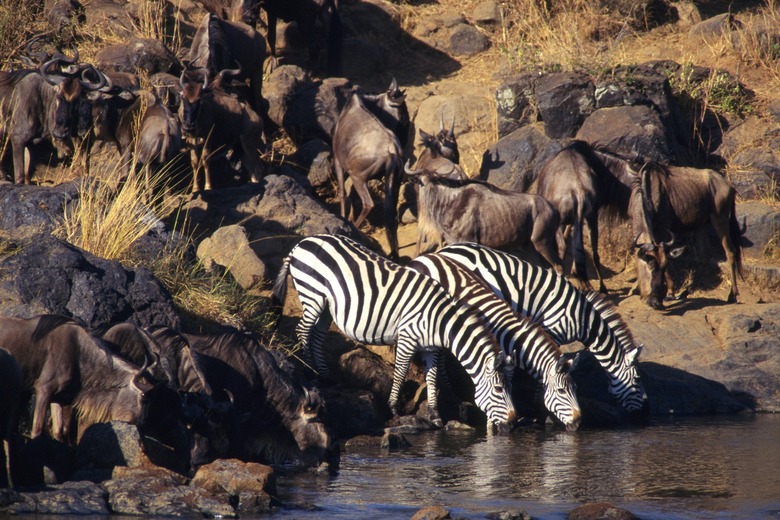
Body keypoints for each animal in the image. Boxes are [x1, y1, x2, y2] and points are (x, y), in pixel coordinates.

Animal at [272, 235, 516, 430]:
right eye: (498, 389)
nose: (514, 422)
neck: (440, 321)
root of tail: (304, 242)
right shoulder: (407, 338)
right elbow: (400, 372)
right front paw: (393, 408)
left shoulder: (431, 348)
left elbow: (432, 378)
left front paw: (436, 415)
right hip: (312, 293)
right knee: (303, 331)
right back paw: (312, 372)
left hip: (325, 306)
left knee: (317, 337)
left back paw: (327, 377)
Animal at [408, 253, 580, 430]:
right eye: (561, 391)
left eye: (575, 389)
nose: (578, 423)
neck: (509, 337)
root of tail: (424, 257)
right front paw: (492, 426)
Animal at [436, 243, 648, 418]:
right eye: (637, 379)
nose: (643, 414)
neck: (583, 320)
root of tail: (445, 249)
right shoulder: (551, 329)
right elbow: (546, 364)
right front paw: (540, 403)